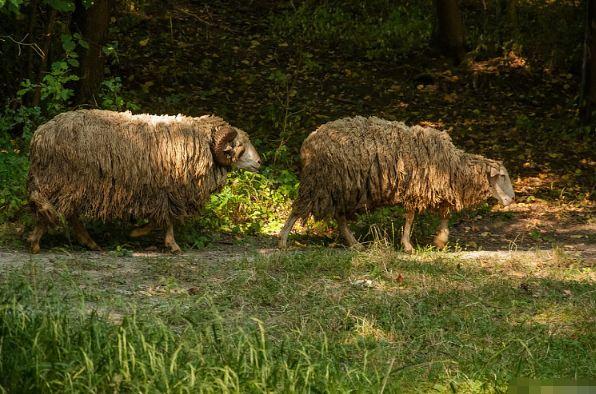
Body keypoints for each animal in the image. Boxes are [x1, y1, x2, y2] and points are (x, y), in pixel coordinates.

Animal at [28, 109, 260, 254]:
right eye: (239, 145)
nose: (260, 162)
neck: (200, 144)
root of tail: (39, 136)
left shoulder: (165, 192)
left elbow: (164, 219)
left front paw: (150, 236)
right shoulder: (166, 190)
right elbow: (164, 219)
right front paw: (161, 241)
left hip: (68, 183)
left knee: (61, 212)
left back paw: (87, 243)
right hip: (67, 181)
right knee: (54, 209)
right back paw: (37, 242)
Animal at [278, 116, 516, 252]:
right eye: (502, 176)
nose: (512, 199)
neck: (453, 166)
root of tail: (307, 144)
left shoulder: (435, 189)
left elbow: (444, 215)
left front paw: (440, 240)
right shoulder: (417, 188)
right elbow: (410, 217)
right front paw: (408, 245)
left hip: (342, 188)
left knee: (340, 218)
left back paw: (355, 244)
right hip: (321, 183)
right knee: (299, 209)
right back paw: (283, 241)